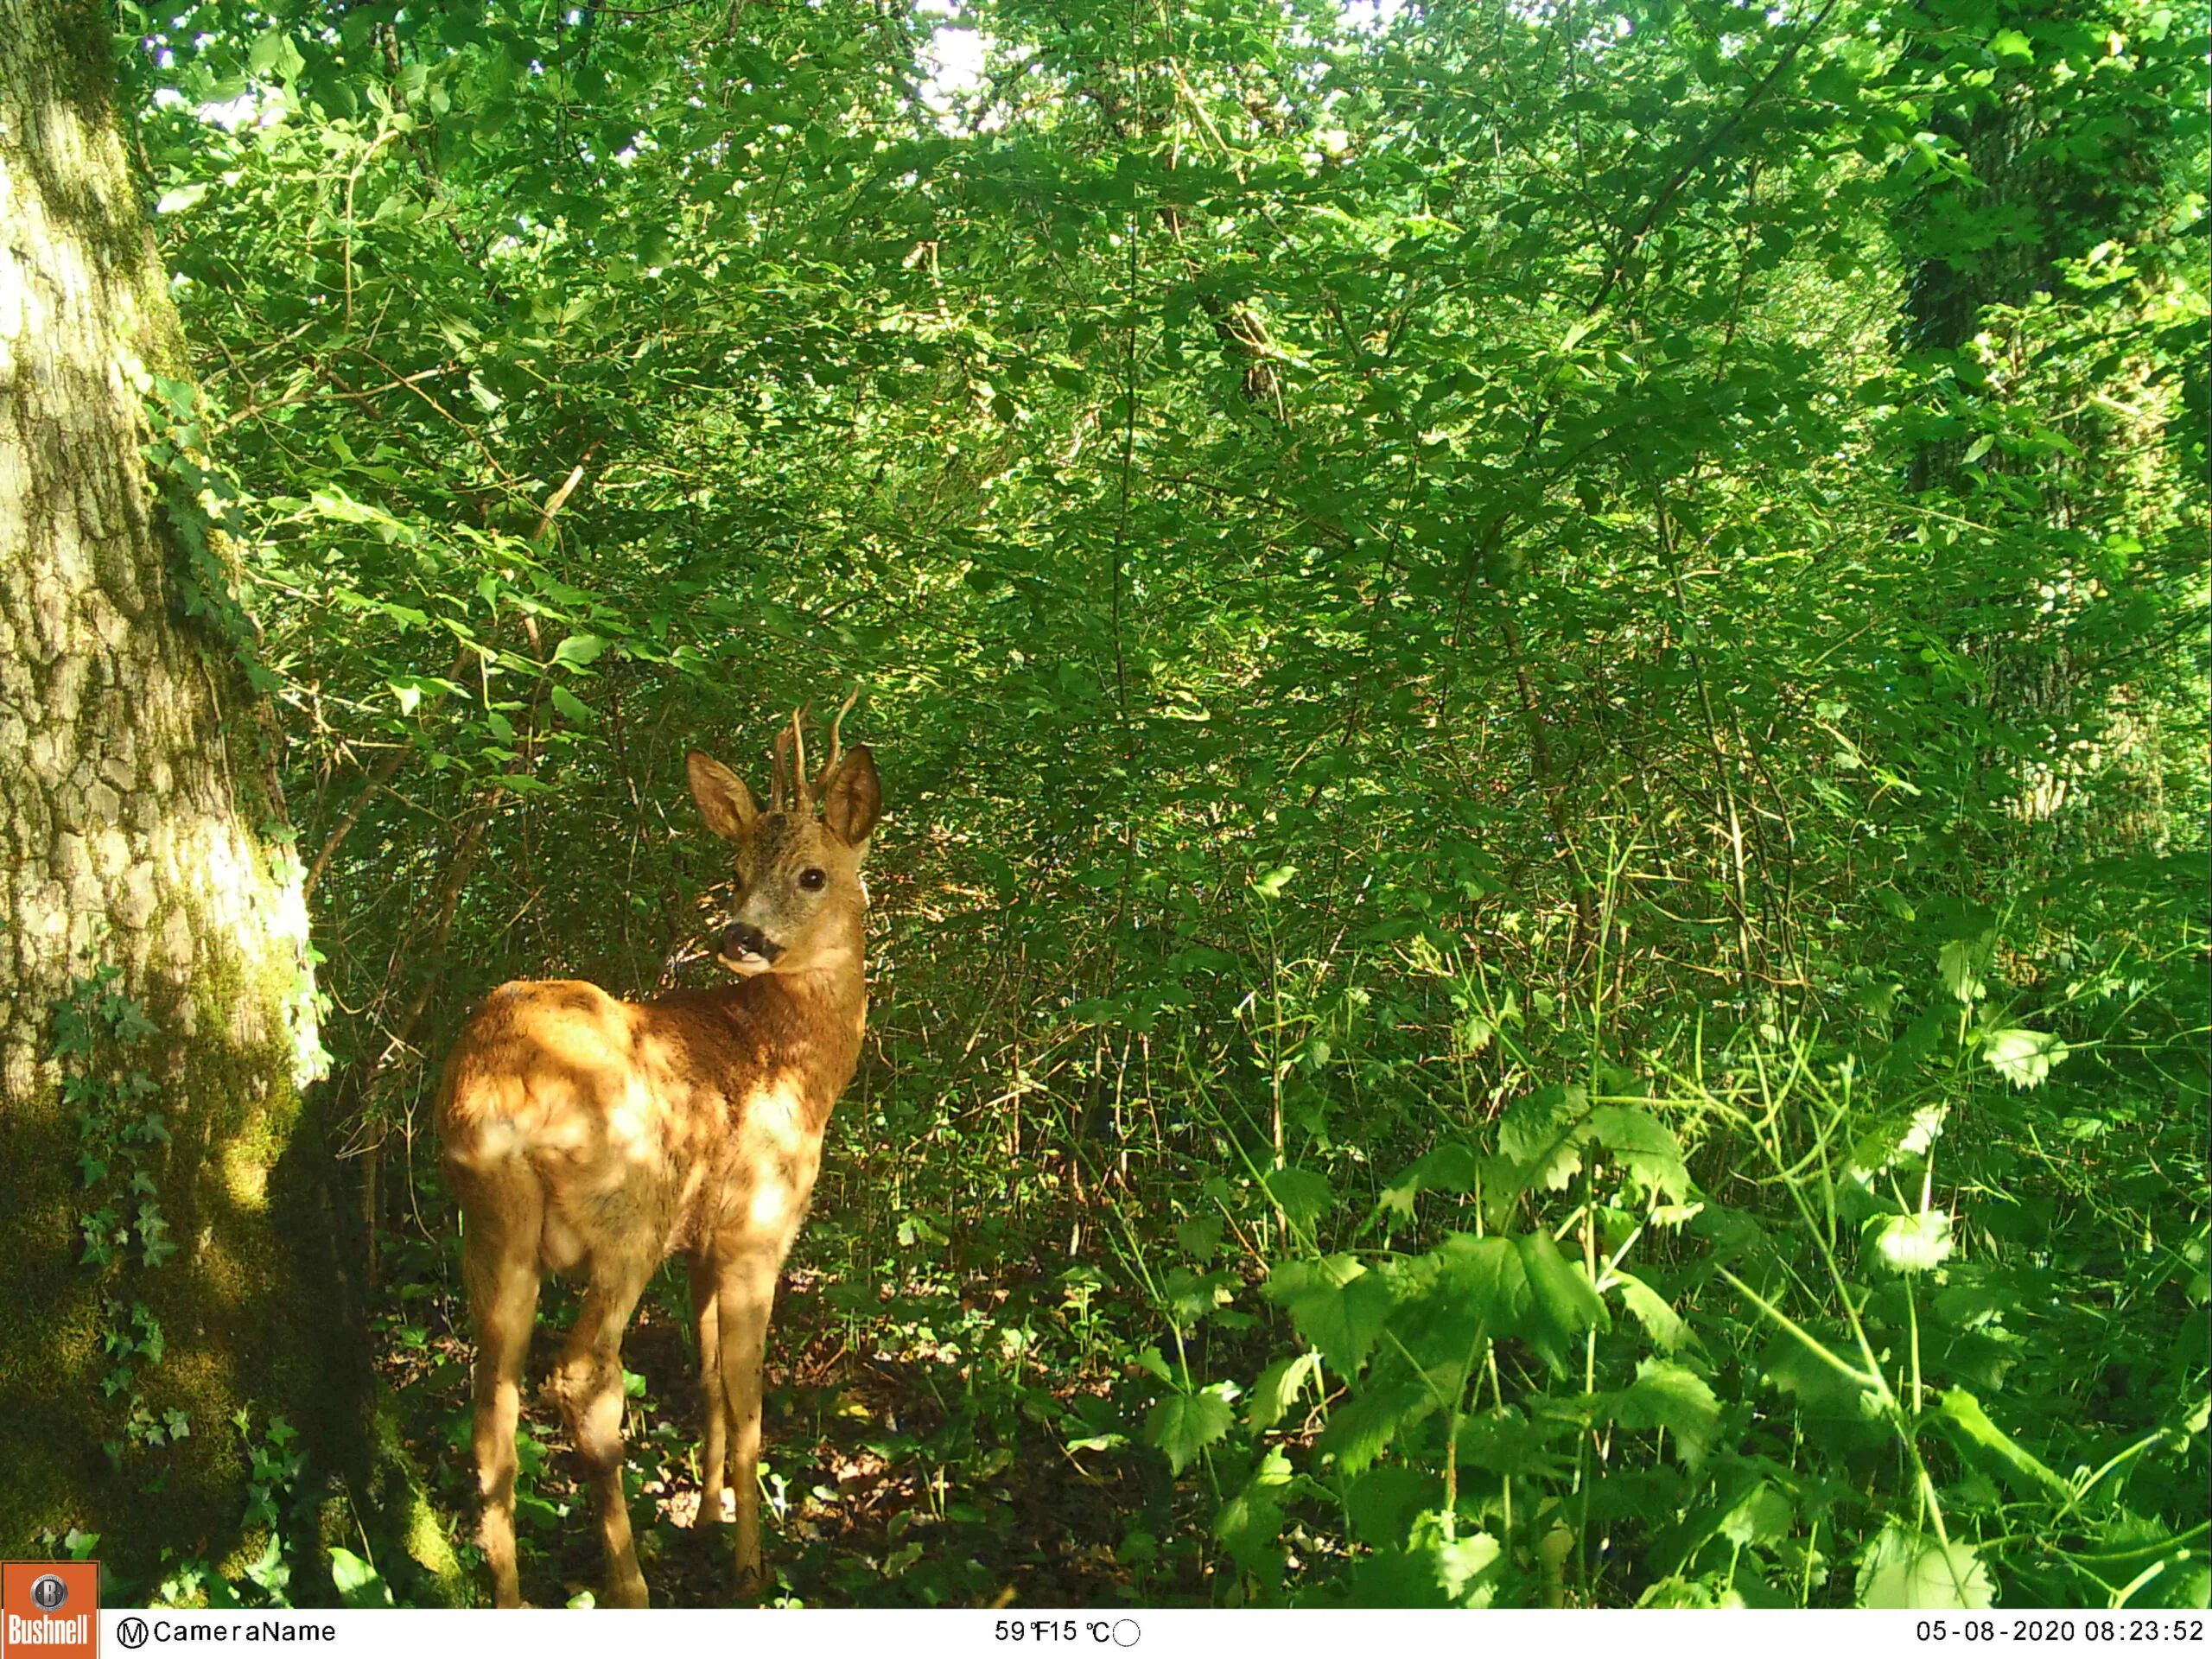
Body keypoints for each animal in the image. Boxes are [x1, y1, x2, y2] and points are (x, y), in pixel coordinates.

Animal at [435, 703, 875, 1610]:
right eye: (736, 870)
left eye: (811, 874)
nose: (740, 935)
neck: (796, 1061)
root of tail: (489, 1088)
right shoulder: (756, 1231)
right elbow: (747, 1400)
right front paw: (748, 1565)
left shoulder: (699, 1247)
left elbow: (705, 1380)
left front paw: (706, 1517)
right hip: (626, 1217)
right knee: (582, 1376)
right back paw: (630, 1583)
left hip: (492, 1230)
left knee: (491, 1396)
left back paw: (512, 1595)